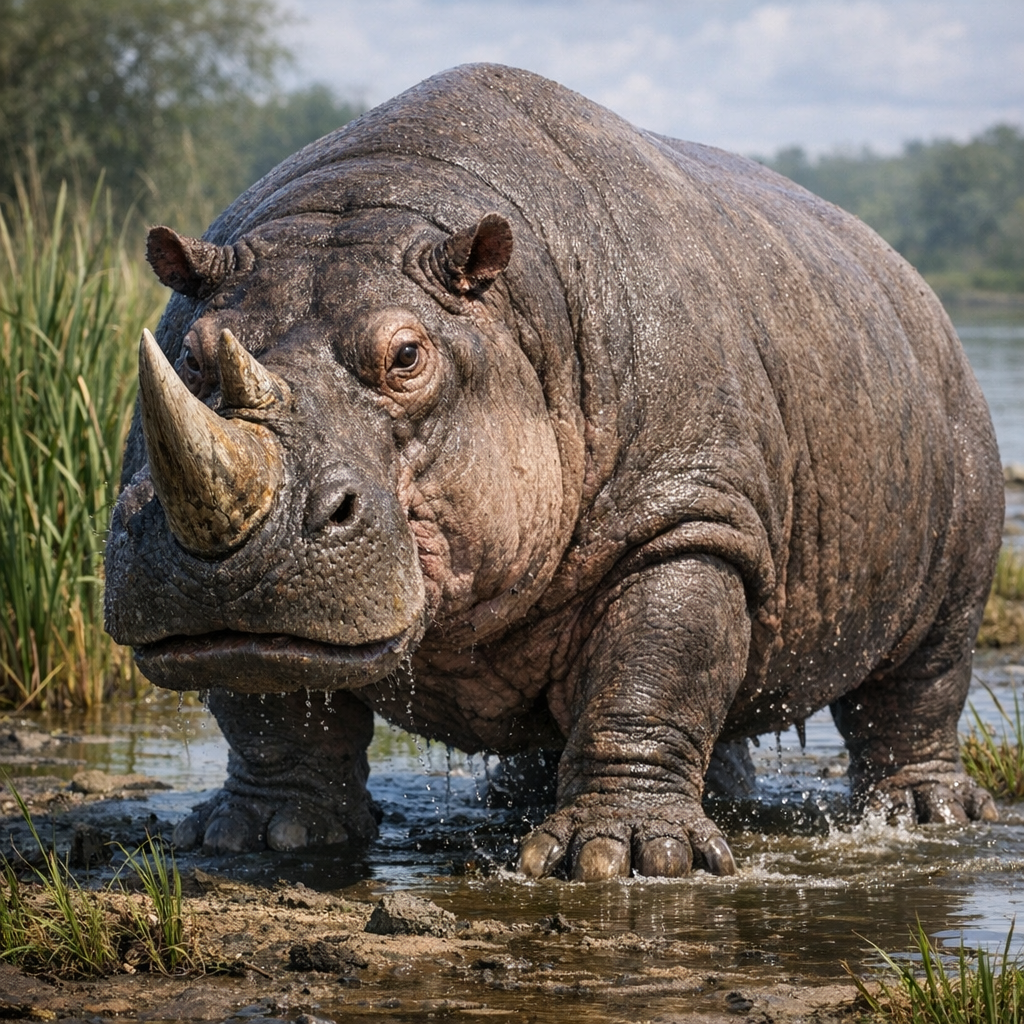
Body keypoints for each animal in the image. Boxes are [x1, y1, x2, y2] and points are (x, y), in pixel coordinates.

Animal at [104, 64, 1004, 881]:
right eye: (191, 355)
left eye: (407, 356)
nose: (241, 561)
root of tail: (910, 278)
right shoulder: (269, 623)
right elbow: (266, 704)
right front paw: (260, 839)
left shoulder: (687, 519)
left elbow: (651, 671)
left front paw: (627, 862)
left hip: (956, 463)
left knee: (922, 670)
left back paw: (924, 816)